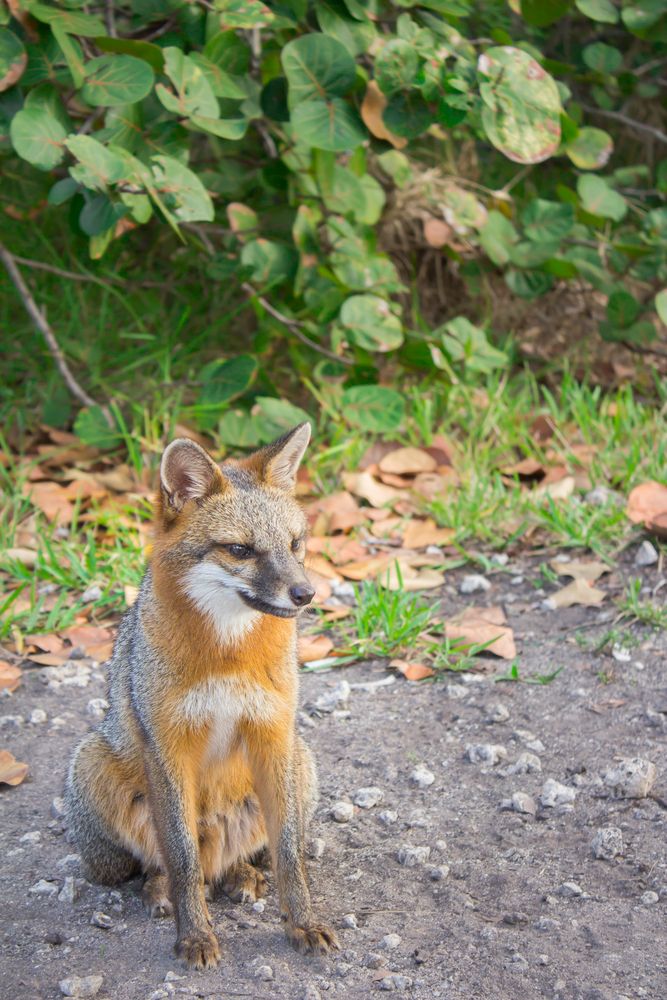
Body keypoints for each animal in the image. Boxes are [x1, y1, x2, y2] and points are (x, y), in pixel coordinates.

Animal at [65, 422, 339, 969]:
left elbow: (290, 856)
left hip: (300, 762)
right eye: (240, 550)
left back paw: (244, 874)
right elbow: (182, 858)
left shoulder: (272, 733)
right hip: (93, 771)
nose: (306, 594)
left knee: (245, 856)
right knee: (167, 863)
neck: (228, 657)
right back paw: (161, 891)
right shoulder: (169, 746)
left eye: (295, 543)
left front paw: (303, 922)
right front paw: (195, 936)